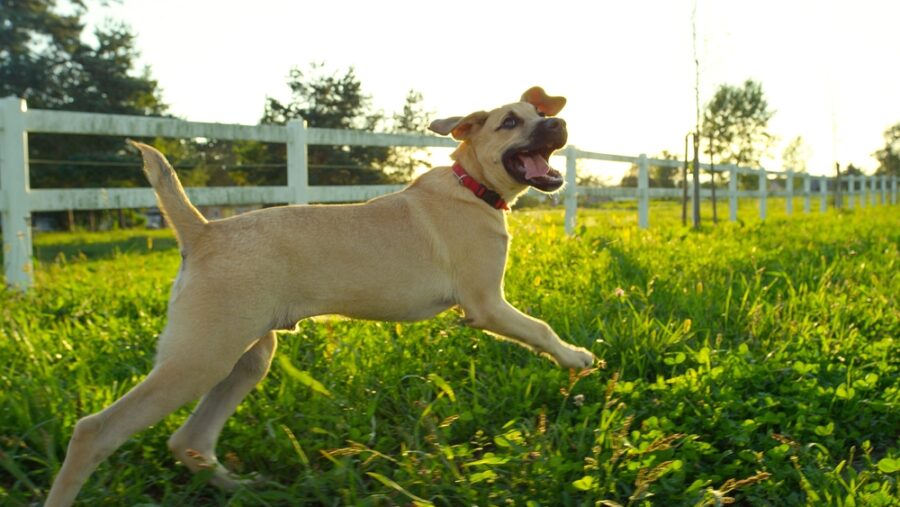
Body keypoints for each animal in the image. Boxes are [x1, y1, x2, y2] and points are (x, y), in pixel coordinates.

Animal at [45, 87, 596, 507]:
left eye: (541, 113)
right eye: (510, 122)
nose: (560, 122)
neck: (470, 184)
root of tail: (202, 233)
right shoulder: (486, 304)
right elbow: (540, 329)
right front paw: (575, 357)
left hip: (248, 358)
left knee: (190, 440)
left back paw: (243, 489)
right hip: (199, 359)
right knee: (95, 432)